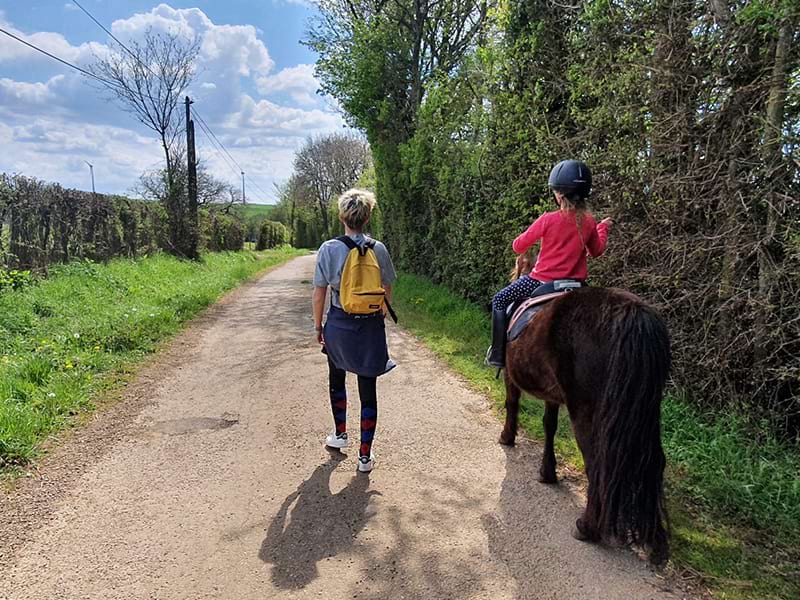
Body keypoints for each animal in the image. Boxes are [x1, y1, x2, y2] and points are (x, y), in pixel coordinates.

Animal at [504, 262, 672, 564]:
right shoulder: (552, 393)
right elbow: (549, 425)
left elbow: (512, 404)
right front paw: (547, 472)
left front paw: (507, 437)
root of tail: (633, 314)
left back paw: (588, 527)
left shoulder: (512, 375)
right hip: (647, 412)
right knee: (653, 463)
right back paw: (655, 543)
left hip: (586, 409)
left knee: (596, 462)